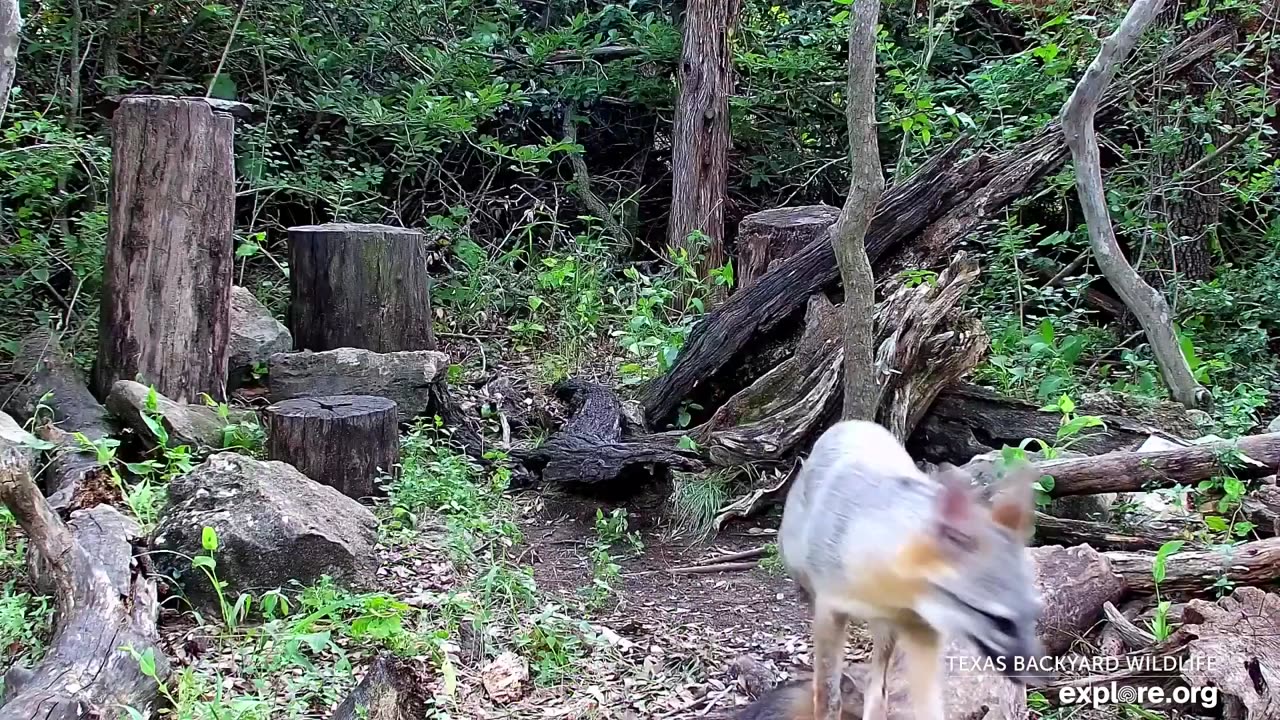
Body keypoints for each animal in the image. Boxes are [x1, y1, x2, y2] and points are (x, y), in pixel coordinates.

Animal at [777, 420, 1044, 720]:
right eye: (999, 620)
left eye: (1033, 615)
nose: (1041, 677)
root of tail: (854, 423)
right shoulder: (829, 612)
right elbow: (828, 698)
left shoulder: (921, 631)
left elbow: (920, 706)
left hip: (888, 633)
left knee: (877, 687)